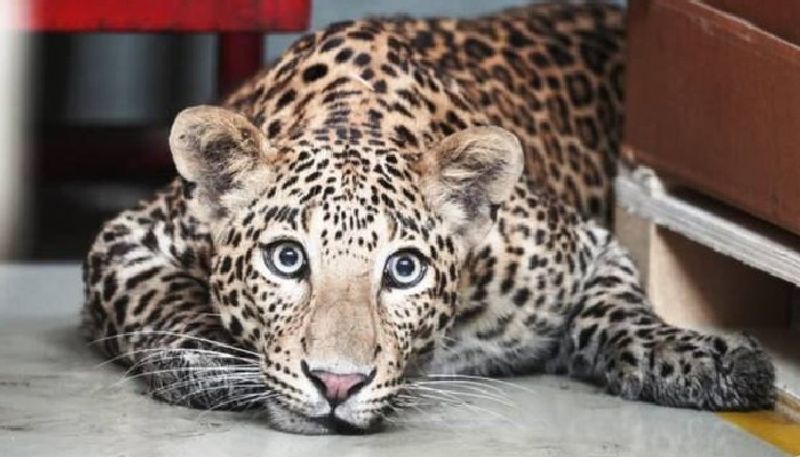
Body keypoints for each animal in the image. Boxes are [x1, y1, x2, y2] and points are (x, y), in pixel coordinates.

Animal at [83, 1, 776, 432]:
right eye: (287, 259)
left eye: (405, 270)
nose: (337, 384)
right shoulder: (126, 240)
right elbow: (162, 301)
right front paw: (220, 363)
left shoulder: (588, 249)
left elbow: (622, 313)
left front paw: (704, 359)